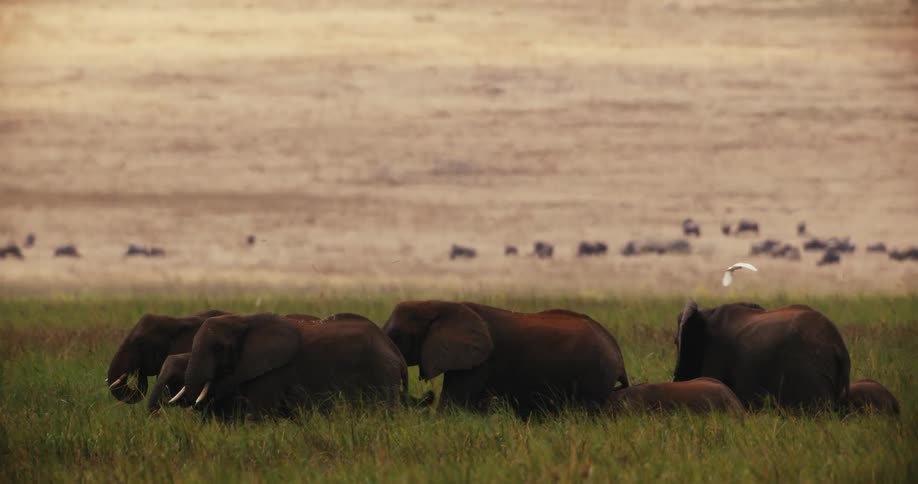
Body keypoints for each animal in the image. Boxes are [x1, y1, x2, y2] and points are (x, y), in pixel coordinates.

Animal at [180, 312, 408, 418]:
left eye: (218, 348)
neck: (243, 319)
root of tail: (395, 351)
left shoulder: (273, 372)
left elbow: (260, 413)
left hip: (381, 374)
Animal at [382, 301, 629, 417]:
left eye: (396, 336)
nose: (428, 395)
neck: (438, 304)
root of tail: (616, 351)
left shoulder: (478, 362)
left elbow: (451, 405)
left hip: (595, 375)